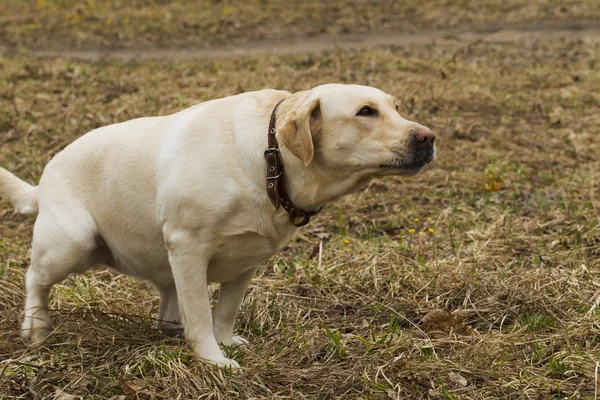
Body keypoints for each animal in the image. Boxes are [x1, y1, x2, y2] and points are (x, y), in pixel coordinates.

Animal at [0, 84, 434, 368]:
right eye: (366, 112)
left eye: (396, 107)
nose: (429, 138)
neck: (270, 159)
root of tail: (45, 178)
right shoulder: (188, 246)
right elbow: (200, 314)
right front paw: (214, 359)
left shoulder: (248, 259)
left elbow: (224, 310)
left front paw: (226, 342)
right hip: (73, 242)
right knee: (34, 278)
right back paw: (35, 328)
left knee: (167, 306)